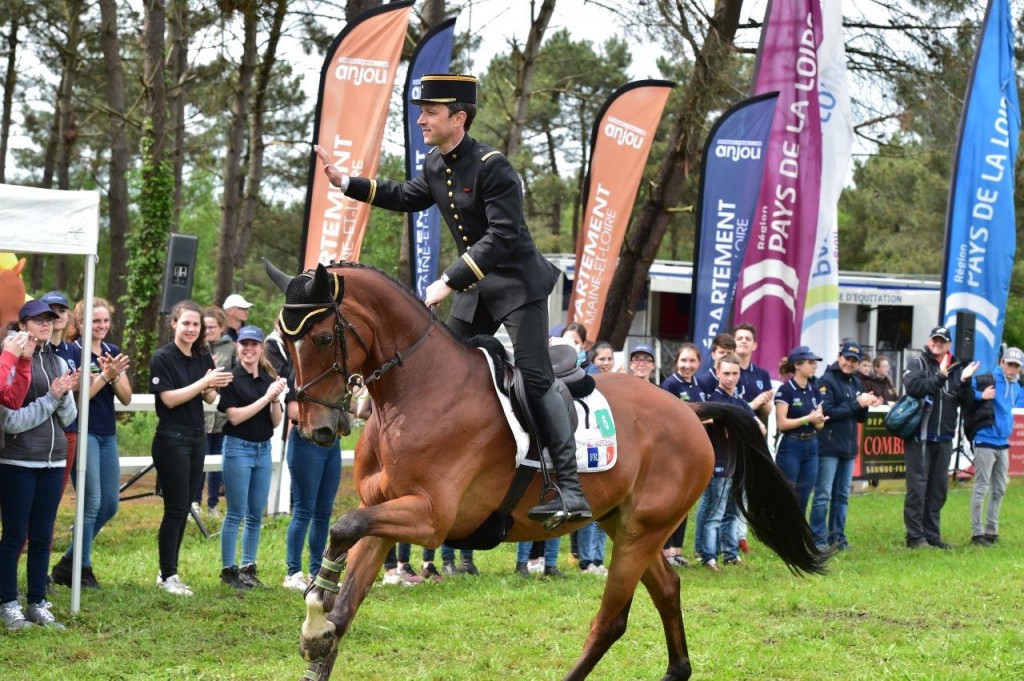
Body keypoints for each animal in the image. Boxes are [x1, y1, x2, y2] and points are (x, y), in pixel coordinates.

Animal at [264, 260, 823, 679]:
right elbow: (345, 599)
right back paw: (676, 671)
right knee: (666, 589)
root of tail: (691, 410)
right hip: (623, 525)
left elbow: (342, 527)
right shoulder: (385, 514)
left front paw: (314, 617)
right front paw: (320, 628)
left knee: (612, 619)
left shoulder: (430, 518)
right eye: (281, 344)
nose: (314, 428)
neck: (413, 391)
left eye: (319, 338)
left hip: (641, 532)